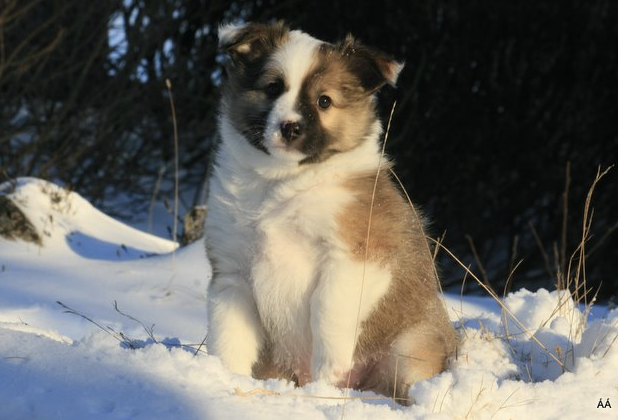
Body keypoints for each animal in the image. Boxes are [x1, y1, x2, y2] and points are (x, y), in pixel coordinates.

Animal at [205, 21, 454, 402]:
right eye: (273, 87)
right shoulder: (233, 271)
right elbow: (228, 333)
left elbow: (327, 314)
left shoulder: (353, 259)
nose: (290, 127)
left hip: (411, 347)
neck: (281, 182)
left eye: (325, 101)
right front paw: (225, 377)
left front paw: (329, 372)